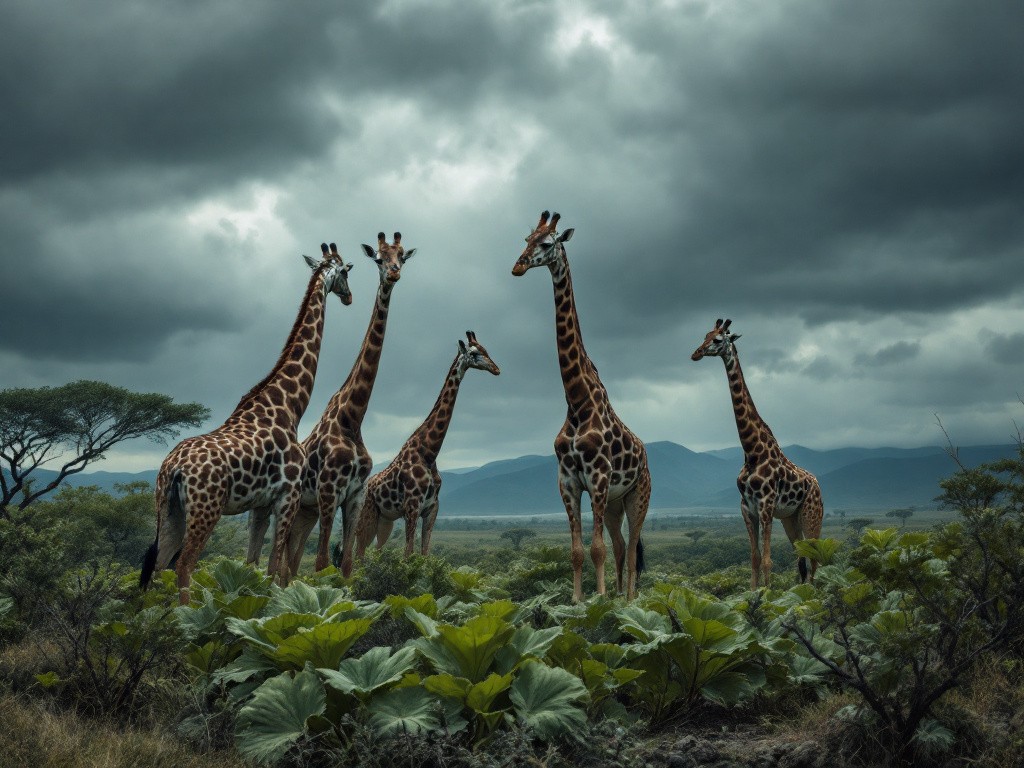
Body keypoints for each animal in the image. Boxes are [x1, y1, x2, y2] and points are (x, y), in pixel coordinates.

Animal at [139, 243, 356, 606]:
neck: (289, 406)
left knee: (158, 565)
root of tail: (174, 468)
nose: (350, 297)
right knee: (184, 563)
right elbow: (274, 568)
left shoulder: (260, 506)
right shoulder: (288, 496)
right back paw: (184, 615)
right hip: (206, 509)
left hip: (167, 509)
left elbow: (253, 564)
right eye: (345, 272)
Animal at [276, 231, 419, 581]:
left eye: (402, 257)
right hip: (296, 506)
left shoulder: (354, 496)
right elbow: (322, 563)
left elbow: (348, 565)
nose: (393, 274)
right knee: (285, 565)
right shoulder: (330, 492)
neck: (352, 418)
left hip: (306, 512)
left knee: (292, 562)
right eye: (379, 259)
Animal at [354, 331, 501, 565]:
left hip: (385, 520)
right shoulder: (412, 507)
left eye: (486, 349)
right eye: (475, 353)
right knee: (357, 554)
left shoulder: (432, 509)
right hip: (368, 514)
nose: (496, 369)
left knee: (374, 551)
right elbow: (408, 554)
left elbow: (424, 553)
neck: (429, 453)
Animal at [509, 210, 647, 602]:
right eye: (525, 239)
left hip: (637, 496)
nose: (518, 266)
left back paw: (629, 599)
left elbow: (596, 548)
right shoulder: (568, 480)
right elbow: (576, 550)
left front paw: (597, 600)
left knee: (632, 548)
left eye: (546, 243)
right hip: (615, 503)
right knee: (620, 545)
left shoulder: (597, 476)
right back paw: (618, 596)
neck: (576, 400)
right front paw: (577, 600)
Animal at [688, 319, 823, 589]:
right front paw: (754, 593)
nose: (696, 353)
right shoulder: (746, 508)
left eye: (718, 339)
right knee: (802, 558)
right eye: (705, 335)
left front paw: (768, 594)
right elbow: (755, 558)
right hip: (791, 518)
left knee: (815, 559)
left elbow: (769, 560)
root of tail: (818, 485)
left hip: (812, 514)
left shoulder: (766, 506)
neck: (751, 451)